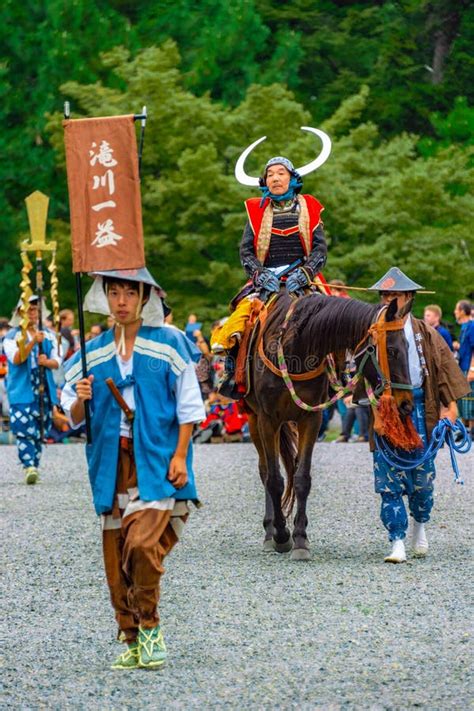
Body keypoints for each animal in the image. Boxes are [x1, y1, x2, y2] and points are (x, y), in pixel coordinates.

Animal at [243, 290, 412, 560]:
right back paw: (270, 532)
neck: (295, 351)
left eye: (408, 346)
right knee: (265, 471)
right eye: (393, 351)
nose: (406, 403)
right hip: (254, 418)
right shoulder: (268, 419)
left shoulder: (311, 419)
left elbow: (302, 478)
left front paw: (300, 539)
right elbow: (275, 480)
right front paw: (281, 536)